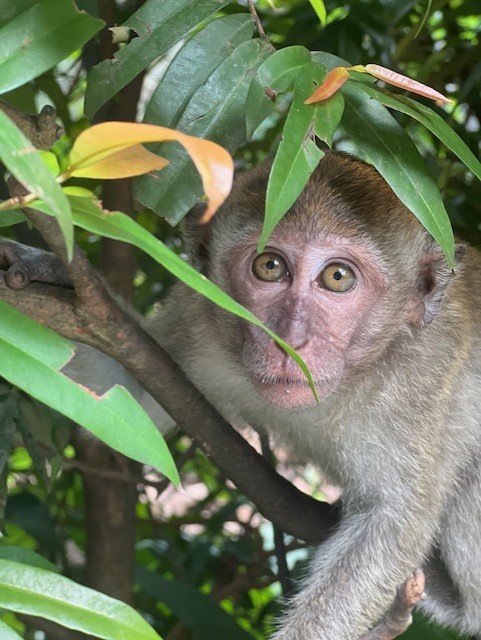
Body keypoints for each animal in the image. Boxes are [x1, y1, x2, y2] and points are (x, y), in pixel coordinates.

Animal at [1, 152, 480, 640]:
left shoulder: (423, 374)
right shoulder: (201, 312)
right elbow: (127, 397)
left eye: (337, 277)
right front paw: (57, 277)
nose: (291, 342)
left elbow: (391, 521)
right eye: (269, 266)